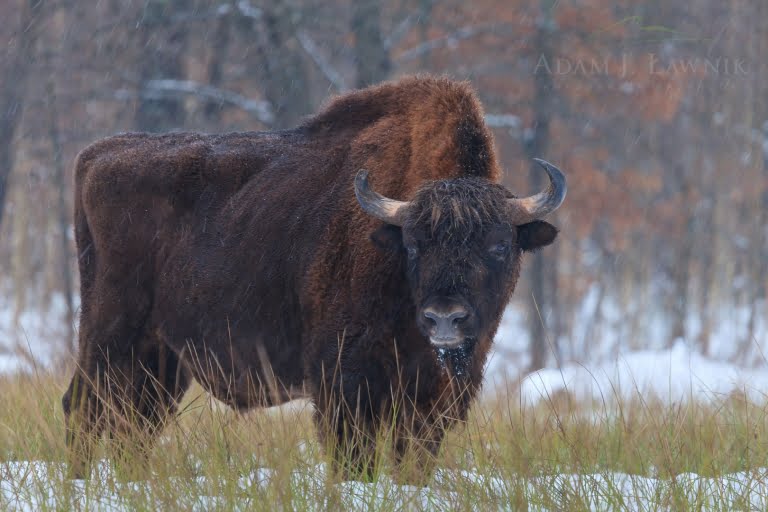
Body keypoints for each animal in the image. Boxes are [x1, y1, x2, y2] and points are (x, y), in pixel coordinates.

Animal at [63, 75, 564, 480]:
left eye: (500, 245)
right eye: (414, 244)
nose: (445, 318)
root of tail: (95, 156)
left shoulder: (432, 398)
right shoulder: (344, 381)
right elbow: (352, 456)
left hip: (163, 358)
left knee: (134, 422)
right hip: (108, 338)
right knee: (84, 409)